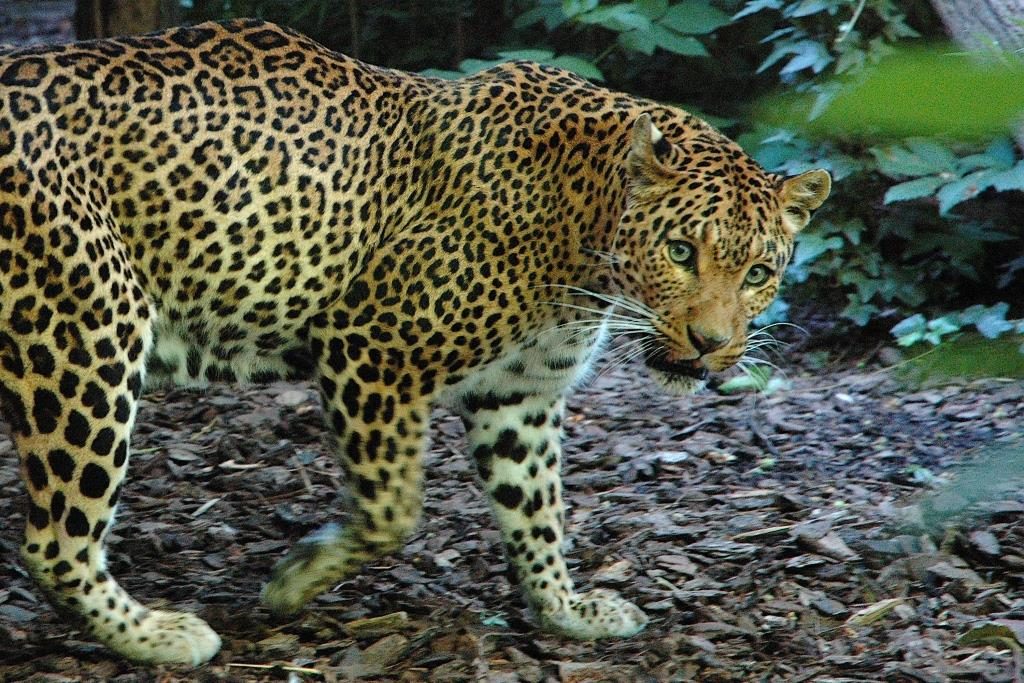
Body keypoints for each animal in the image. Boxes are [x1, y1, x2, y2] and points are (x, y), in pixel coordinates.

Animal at [0, 18, 830, 666]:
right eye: (682, 250)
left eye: (758, 271)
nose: (709, 343)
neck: (586, 234)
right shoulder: (373, 349)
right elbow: (393, 508)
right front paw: (294, 579)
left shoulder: (519, 394)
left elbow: (538, 511)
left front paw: (565, 610)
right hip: (87, 329)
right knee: (55, 540)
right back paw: (157, 635)